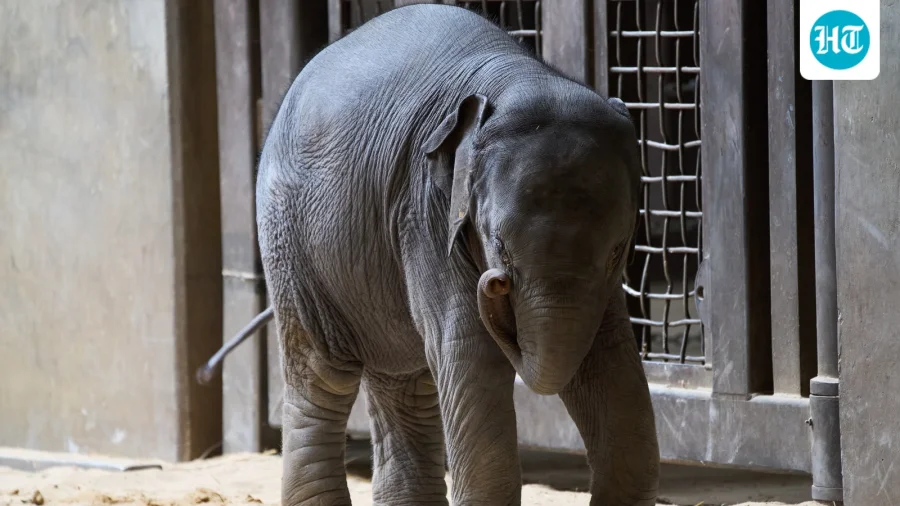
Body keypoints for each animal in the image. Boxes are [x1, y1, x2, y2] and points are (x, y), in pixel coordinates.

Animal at [255, 3, 660, 505]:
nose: (495, 281)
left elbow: (609, 357)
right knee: (321, 376)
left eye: (618, 251)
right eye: (498, 245)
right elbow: (470, 348)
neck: (518, 76)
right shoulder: (424, 211)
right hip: (289, 240)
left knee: (405, 385)